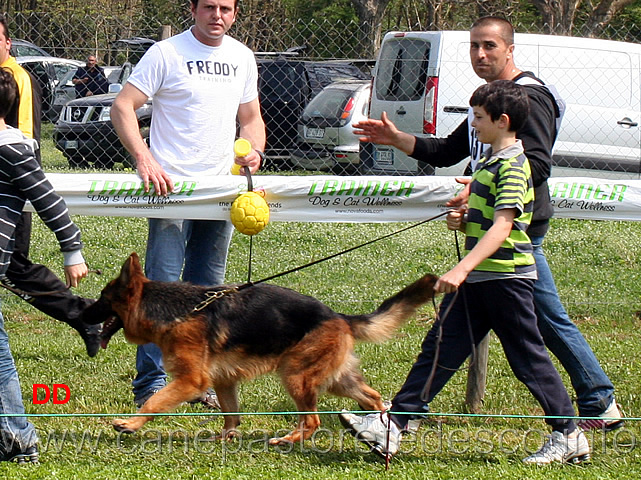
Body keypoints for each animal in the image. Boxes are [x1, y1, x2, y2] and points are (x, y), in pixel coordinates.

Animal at [82, 253, 438, 444]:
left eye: (101, 299)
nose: (80, 313)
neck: (176, 310)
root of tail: (338, 317)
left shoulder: (190, 381)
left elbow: (154, 402)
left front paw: (129, 425)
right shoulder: (224, 380)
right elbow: (231, 414)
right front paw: (225, 438)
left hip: (296, 376)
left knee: (313, 421)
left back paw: (288, 440)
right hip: (337, 380)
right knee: (375, 398)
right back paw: (380, 436)